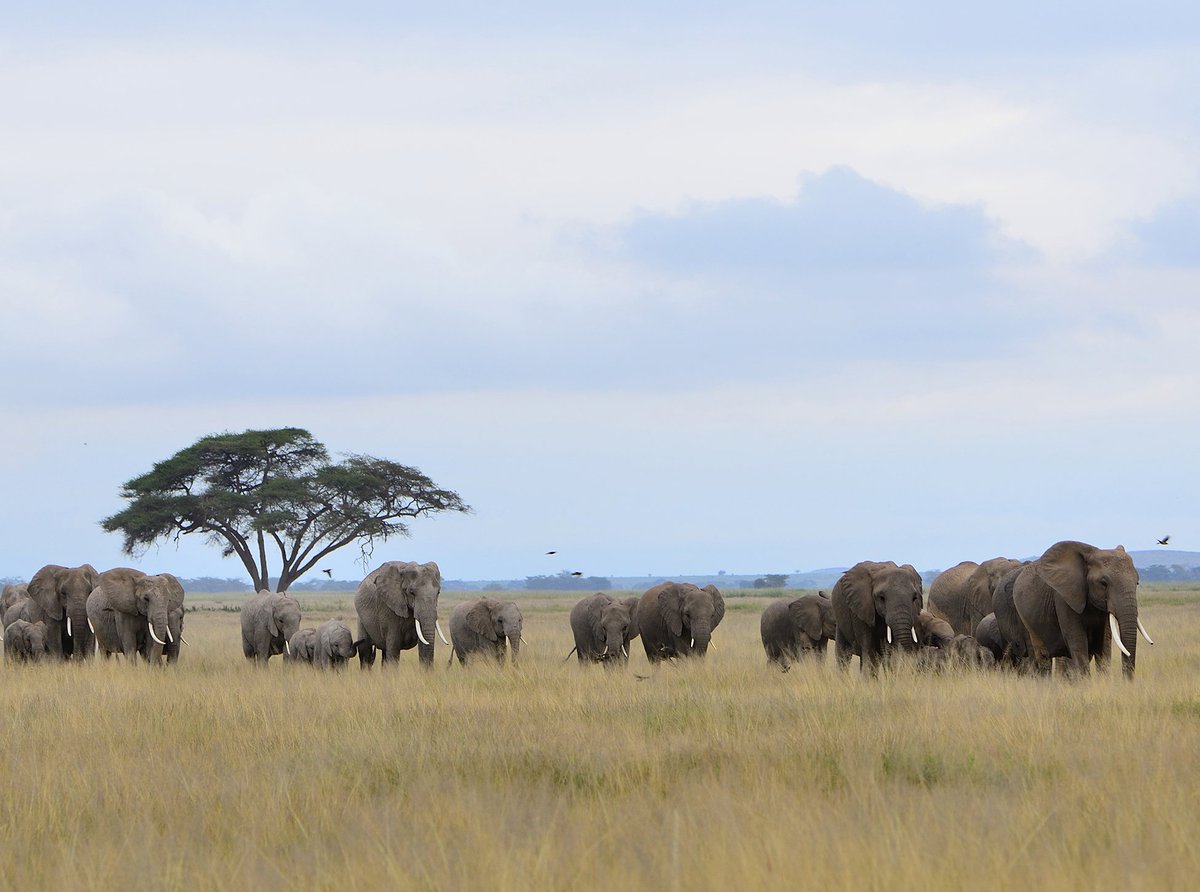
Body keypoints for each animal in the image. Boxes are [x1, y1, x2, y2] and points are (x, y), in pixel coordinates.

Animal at [1012, 541, 1151, 679]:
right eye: (1103, 583)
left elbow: (1104, 646)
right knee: (1043, 657)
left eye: (1137, 583)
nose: (1127, 681)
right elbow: (1078, 643)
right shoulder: (1064, 598)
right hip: (1028, 622)